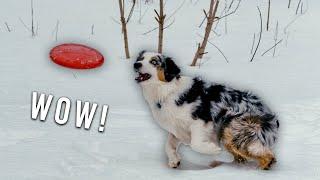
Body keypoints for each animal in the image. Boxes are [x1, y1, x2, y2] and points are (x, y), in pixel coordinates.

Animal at [134, 51, 278, 170]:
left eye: (154, 62)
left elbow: (195, 144)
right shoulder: (177, 130)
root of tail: (270, 114)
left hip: (231, 128)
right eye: (141, 58)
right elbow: (168, 146)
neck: (166, 91)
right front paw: (174, 160)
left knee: (267, 155)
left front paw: (214, 151)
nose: (136, 64)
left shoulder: (201, 121)